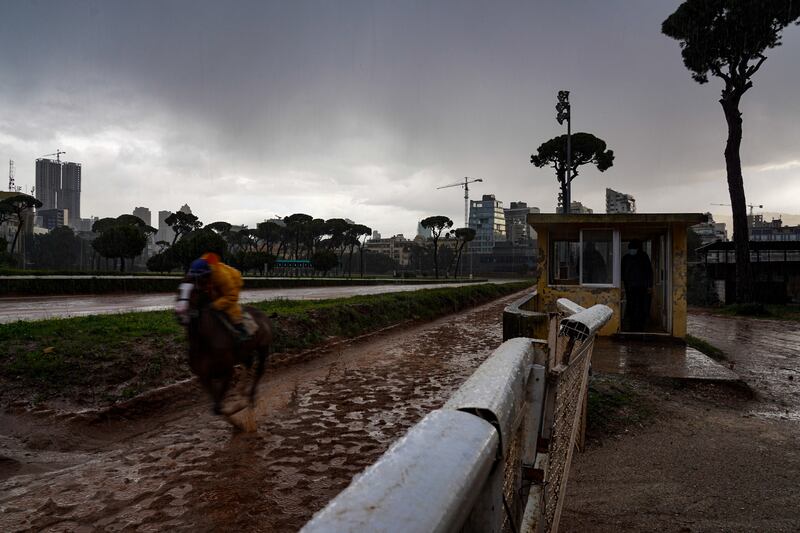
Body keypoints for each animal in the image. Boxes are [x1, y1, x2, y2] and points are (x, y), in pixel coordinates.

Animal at [175, 280, 276, 418]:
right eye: (179, 289)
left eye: (195, 291)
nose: (180, 313)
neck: (205, 342)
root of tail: (265, 316)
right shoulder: (204, 375)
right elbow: (216, 406)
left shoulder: (227, 370)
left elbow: (219, 407)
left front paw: (236, 408)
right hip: (245, 351)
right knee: (248, 362)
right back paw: (241, 391)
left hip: (263, 348)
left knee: (259, 370)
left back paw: (250, 396)